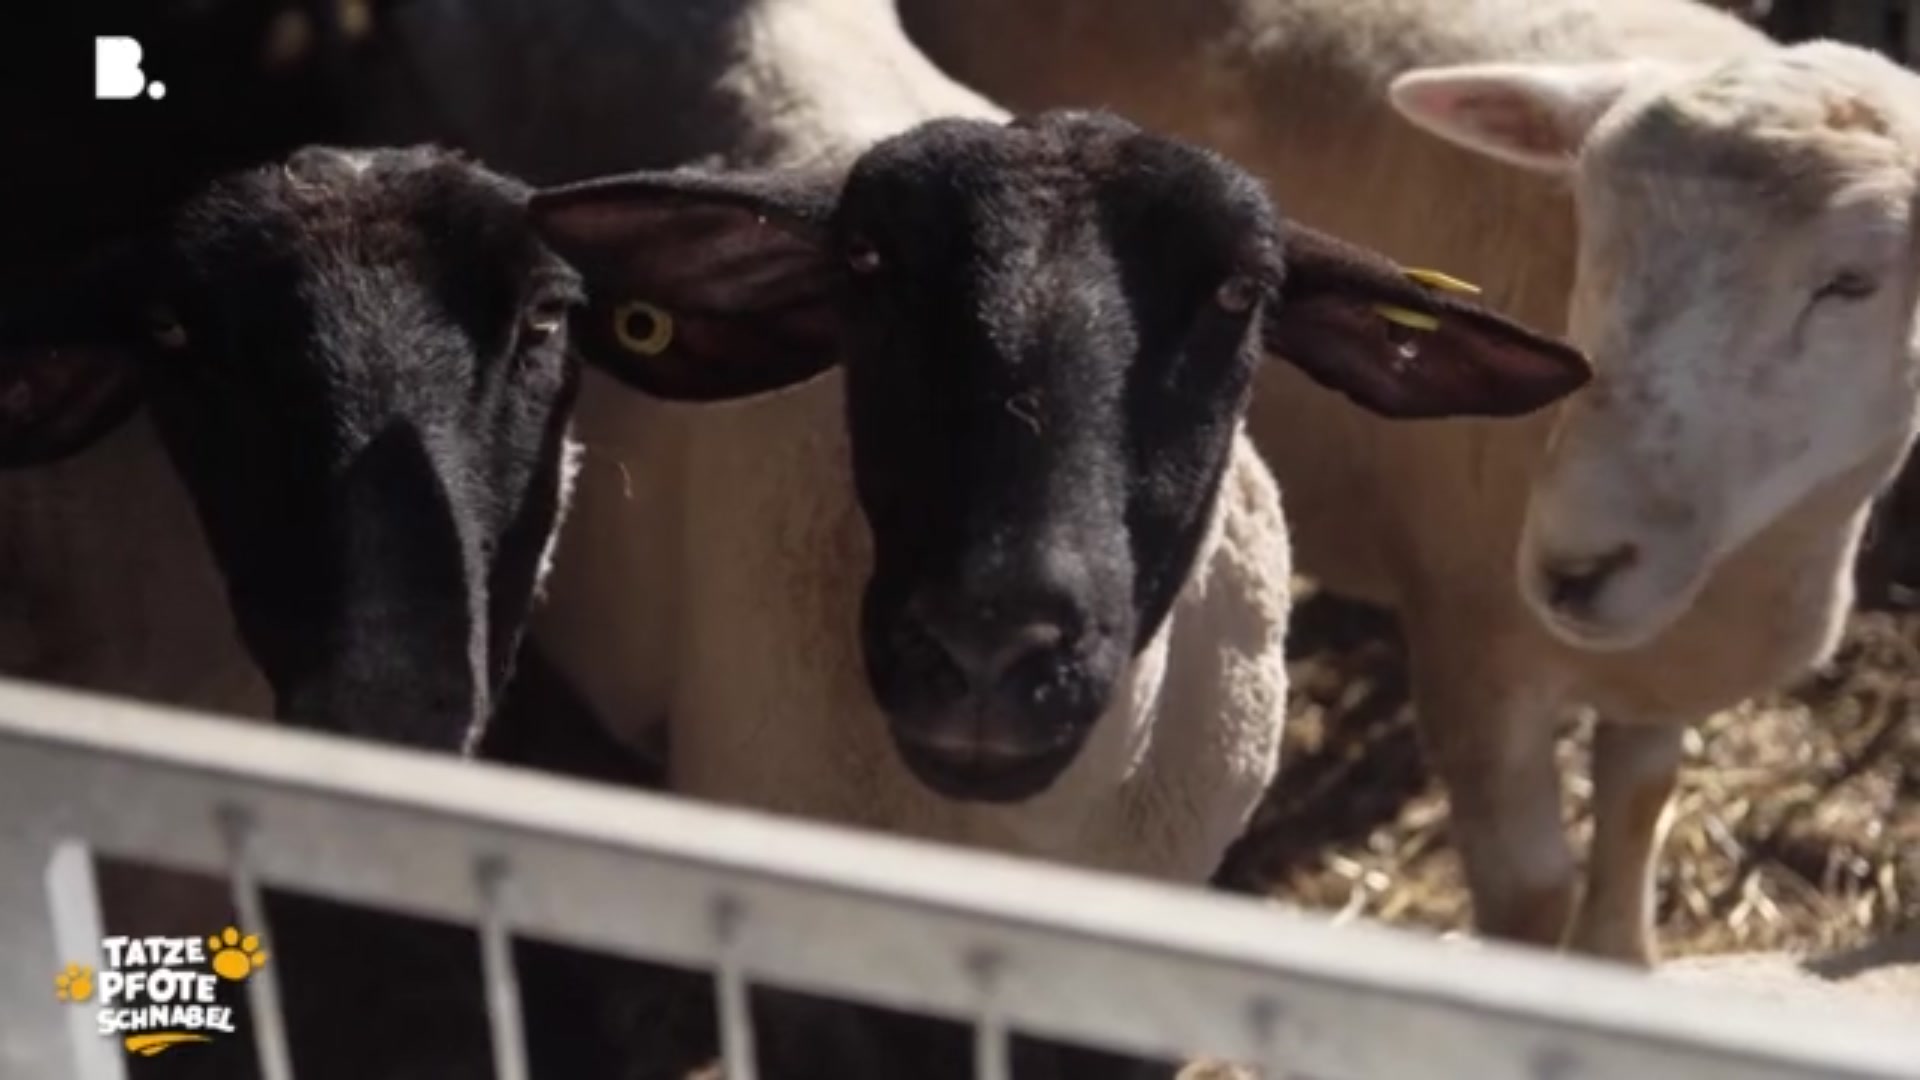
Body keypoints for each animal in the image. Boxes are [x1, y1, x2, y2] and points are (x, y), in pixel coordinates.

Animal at [895, 0, 1920, 963]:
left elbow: (1638, 810)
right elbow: (1533, 892)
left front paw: (1622, 961)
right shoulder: (1472, 651)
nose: (1571, 566)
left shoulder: (1653, 666)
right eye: (1595, 227)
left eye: (1853, 284)